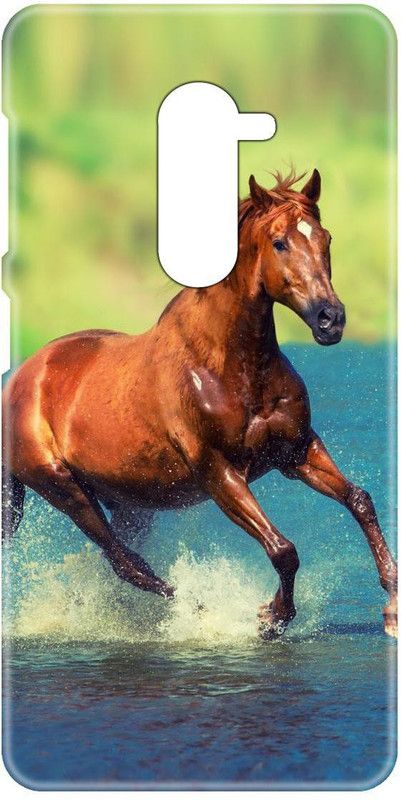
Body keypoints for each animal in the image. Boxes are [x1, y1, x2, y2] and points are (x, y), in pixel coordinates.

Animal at [2, 169, 397, 639]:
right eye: (279, 242)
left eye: (325, 238)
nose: (330, 319)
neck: (230, 368)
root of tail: (20, 380)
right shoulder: (219, 472)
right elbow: (283, 549)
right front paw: (270, 618)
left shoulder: (296, 451)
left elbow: (360, 500)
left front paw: (392, 607)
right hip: (64, 489)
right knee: (125, 562)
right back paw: (198, 610)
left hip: (131, 501)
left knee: (121, 561)